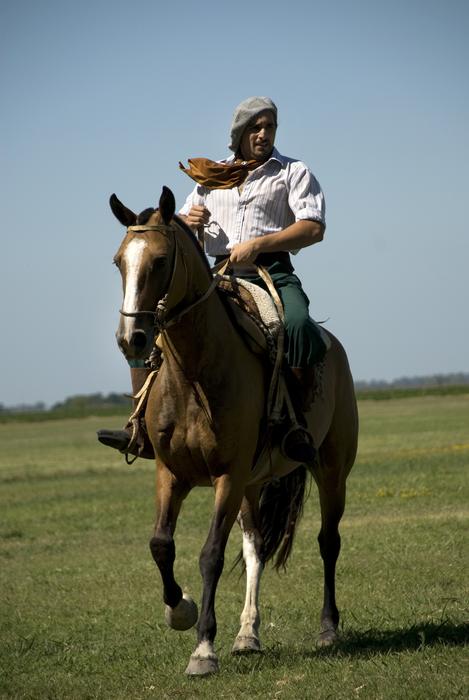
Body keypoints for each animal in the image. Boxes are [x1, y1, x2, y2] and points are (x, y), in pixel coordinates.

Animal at [109, 186, 358, 676]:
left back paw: (327, 627)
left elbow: (210, 554)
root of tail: (334, 347)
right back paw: (247, 634)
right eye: (119, 261)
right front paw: (180, 610)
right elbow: (161, 545)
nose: (133, 339)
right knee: (256, 546)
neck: (195, 374)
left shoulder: (227, 474)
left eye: (160, 261)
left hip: (330, 471)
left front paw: (204, 648)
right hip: (253, 482)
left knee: (328, 542)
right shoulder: (172, 473)